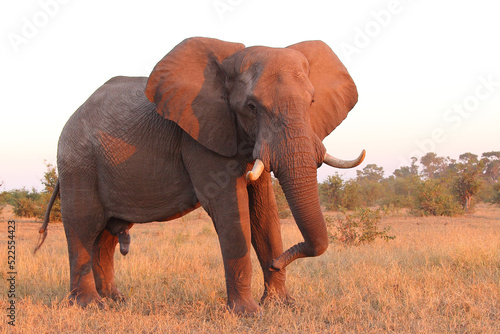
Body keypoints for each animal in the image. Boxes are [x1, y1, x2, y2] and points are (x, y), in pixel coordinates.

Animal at [38, 37, 364, 314]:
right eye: (251, 107)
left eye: (311, 103)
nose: (276, 263)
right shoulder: (199, 135)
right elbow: (230, 208)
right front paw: (248, 313)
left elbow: (264, 212)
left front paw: (281, 306)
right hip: (78, 163)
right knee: (83, 227)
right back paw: (89, 305)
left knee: (105, 236)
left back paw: (116, 301)